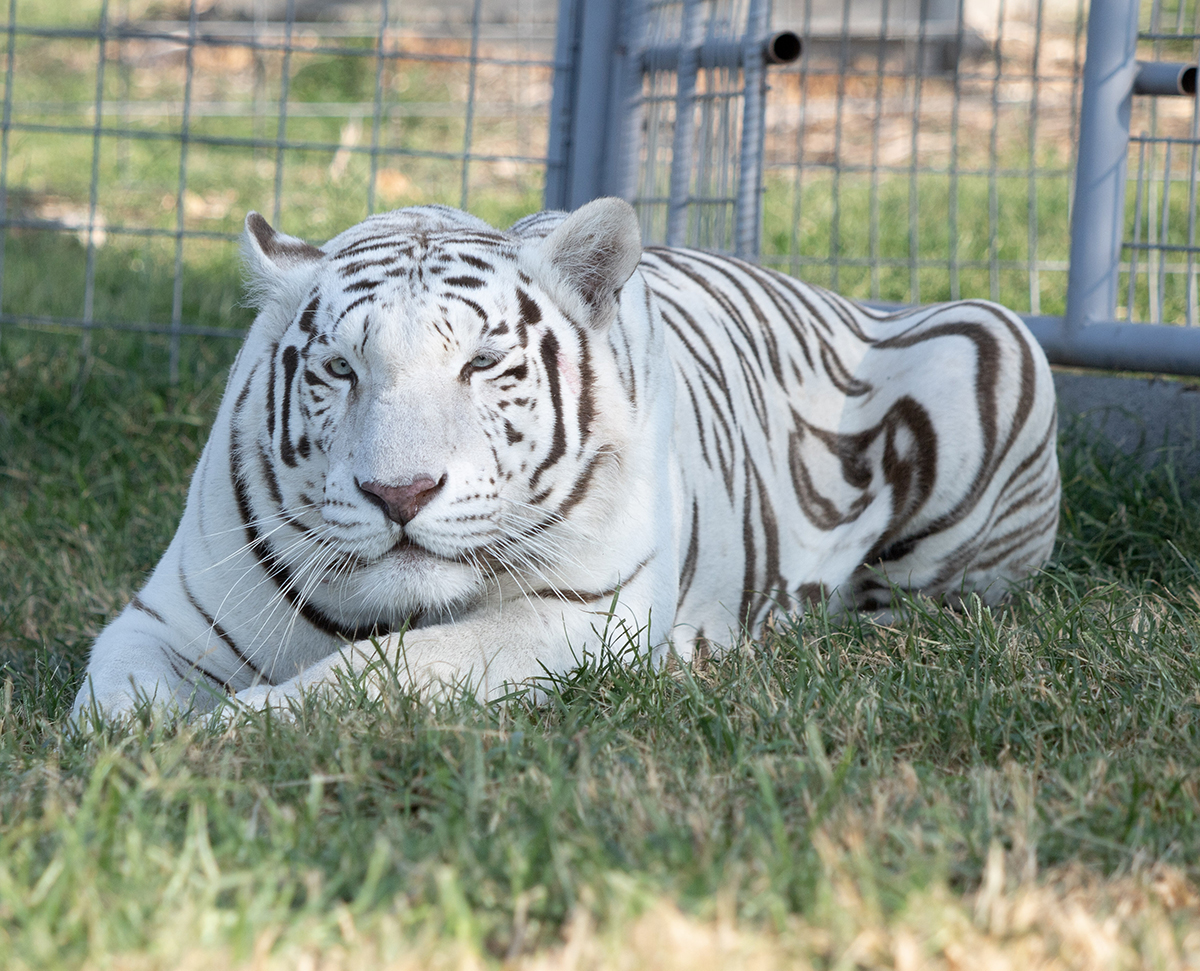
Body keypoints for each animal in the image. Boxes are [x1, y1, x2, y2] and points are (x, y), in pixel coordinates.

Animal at [68, 196, 1060, 720]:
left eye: (480, 363)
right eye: (341, 369)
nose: (400, 492)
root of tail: (852, 296)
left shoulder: (575, 617)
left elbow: (375, 675)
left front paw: (222, 736)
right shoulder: (164, 621)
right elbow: (116, 705)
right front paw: (151, 745)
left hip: (994, 340)